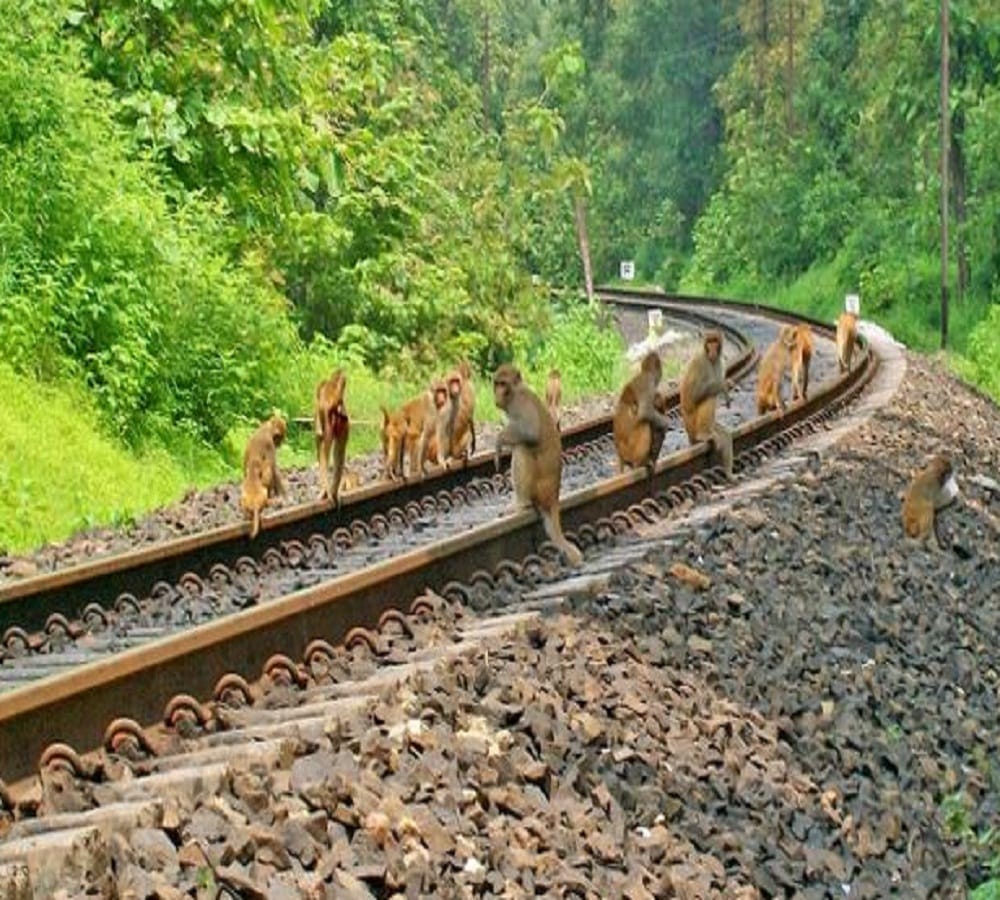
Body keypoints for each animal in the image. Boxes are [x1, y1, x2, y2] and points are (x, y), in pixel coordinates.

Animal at [492, 364, 583, 567]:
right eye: (496, 383)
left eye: (503, 384)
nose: (497, 394)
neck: (515, 391)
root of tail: (554, 497)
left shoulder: (520, 403)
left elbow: (530, 431)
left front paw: (499, 440)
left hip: (539, 490)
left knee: (522, 448)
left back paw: (521, 505)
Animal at [679, 330, 734, 478]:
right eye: (709, 341)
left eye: (715, 341)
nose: (713, 349)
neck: (711, 360)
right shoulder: (700, 361)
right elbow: (693, 395)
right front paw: (723, 385)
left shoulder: (720, 362)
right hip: (692, 427)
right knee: (709, 397)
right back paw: (702, 435)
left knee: (725, 436)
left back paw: (729, 474)